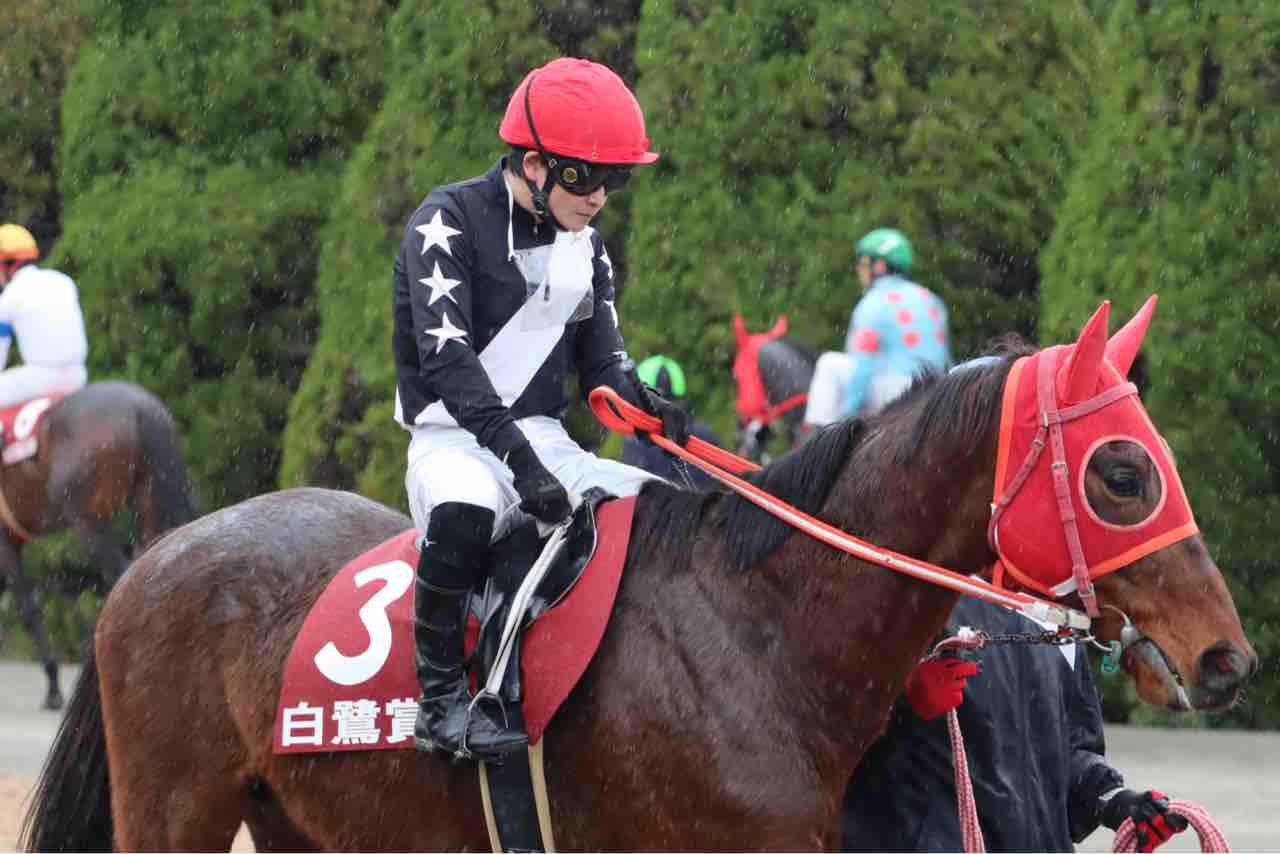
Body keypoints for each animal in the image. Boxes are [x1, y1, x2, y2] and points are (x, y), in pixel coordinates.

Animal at [0, 380, 197, 709]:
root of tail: (140, 407)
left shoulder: (5, 539)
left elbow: (28, 608)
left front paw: (53, 687)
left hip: (88, 521)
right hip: (150, 504)